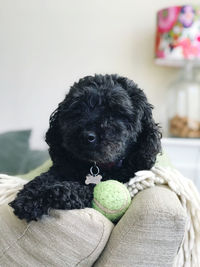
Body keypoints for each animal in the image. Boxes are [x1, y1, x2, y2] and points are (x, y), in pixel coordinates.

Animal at [10, 75, 162, 222]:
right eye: (77, 108)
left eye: (116, 112)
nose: (87, 136)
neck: (94, 166)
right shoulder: (61, 169)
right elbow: (42, 179)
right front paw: (28, 197)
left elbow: (73, 188)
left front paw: (41, 198)